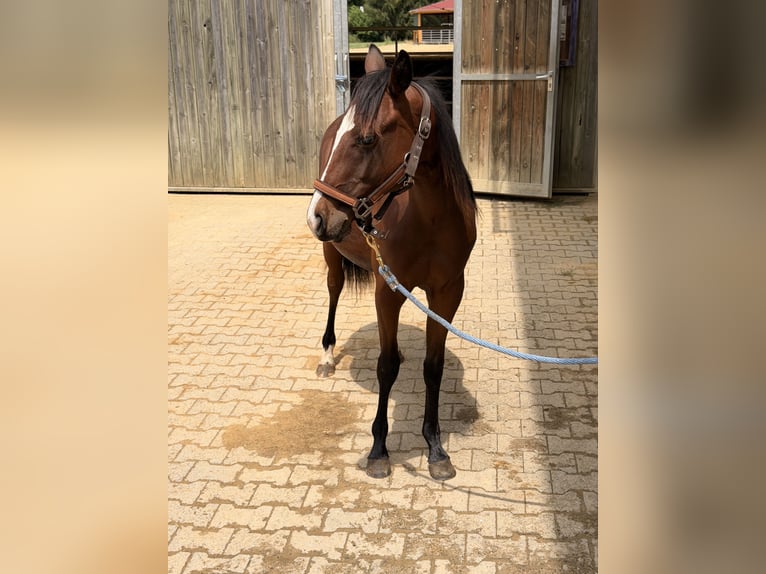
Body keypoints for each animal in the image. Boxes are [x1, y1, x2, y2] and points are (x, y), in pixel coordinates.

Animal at [306, 45, 477, 480]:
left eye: (367, 139)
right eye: (345, 137)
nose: (316, 215)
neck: (430, 219)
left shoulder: (447, 293)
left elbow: (433, 367)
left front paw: (435, 447)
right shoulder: (389, 289)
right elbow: (385, 368)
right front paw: (379, 449)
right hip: (333, 255)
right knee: (334, 291)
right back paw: (327, 356)